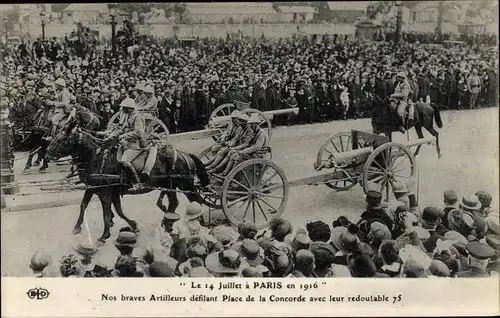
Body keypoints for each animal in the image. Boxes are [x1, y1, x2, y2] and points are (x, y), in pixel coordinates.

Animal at [46, 118, 210, 245]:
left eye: (61, 139)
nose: (47, 155)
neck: (96, 157)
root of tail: (185, 155)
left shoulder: (105, 192)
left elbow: (107, 213)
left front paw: (104, 236)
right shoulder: (95, 188)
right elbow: (88, 205)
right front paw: (78, 226)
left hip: (185, 184)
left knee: (196, 200)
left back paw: (198, 223)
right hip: (169, 185)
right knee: (174, 202)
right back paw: (168, 224)